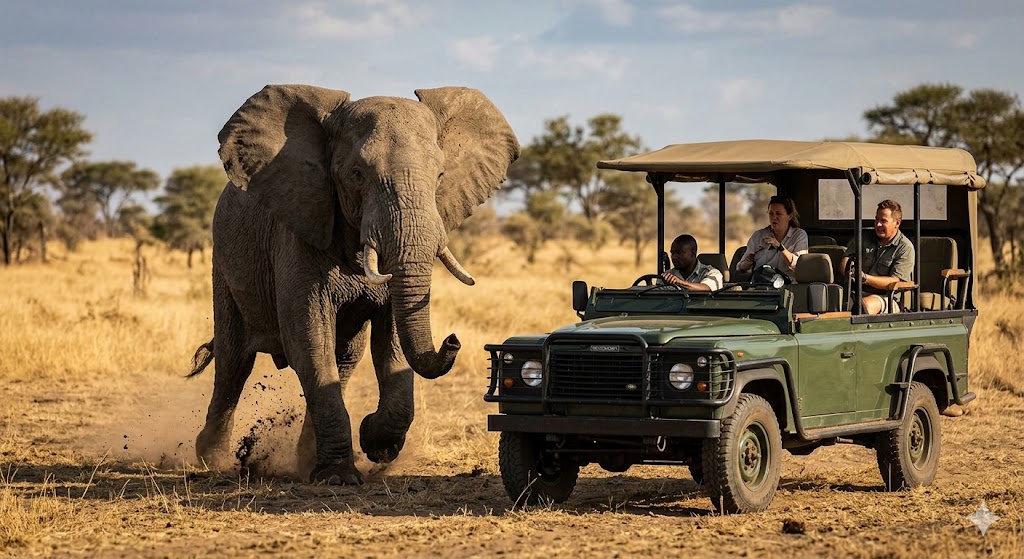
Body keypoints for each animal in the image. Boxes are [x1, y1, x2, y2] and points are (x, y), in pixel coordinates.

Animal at [188, 84, 519, 484]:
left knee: (343, 360)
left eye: (440, 175)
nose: (453, 340)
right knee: (234, 361)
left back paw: (306, 460)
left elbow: (391, 343)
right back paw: (212, 461)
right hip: (223, 262)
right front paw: (339, 477)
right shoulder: (299, 230)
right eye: (357, 174)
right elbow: (309, 338)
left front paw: (376, 445)